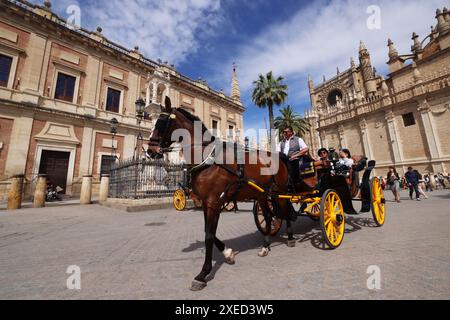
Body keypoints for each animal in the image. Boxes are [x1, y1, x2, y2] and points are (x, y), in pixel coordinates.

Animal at [148, 97, 296, 290]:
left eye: (162, 122)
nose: (149, 150)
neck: (208, 159)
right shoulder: (207, 203)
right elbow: (208, 231)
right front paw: (228, 253)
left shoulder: (214, 202)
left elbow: (209, 236)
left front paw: (203, 274)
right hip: (262, 195)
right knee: (269, 216)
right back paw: (265, 246)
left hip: (281, 191)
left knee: (285, 211)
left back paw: (290, 237)